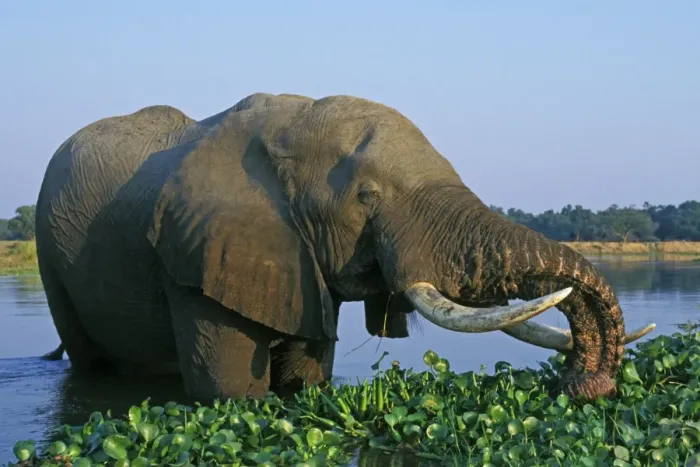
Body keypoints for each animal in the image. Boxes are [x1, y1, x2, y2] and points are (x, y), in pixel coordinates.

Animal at [35, 92, 655, 402]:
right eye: (366, 196)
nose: (581, 384)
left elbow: (308, 381)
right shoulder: (191, 257)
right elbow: (233, 396)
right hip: (49, 252)